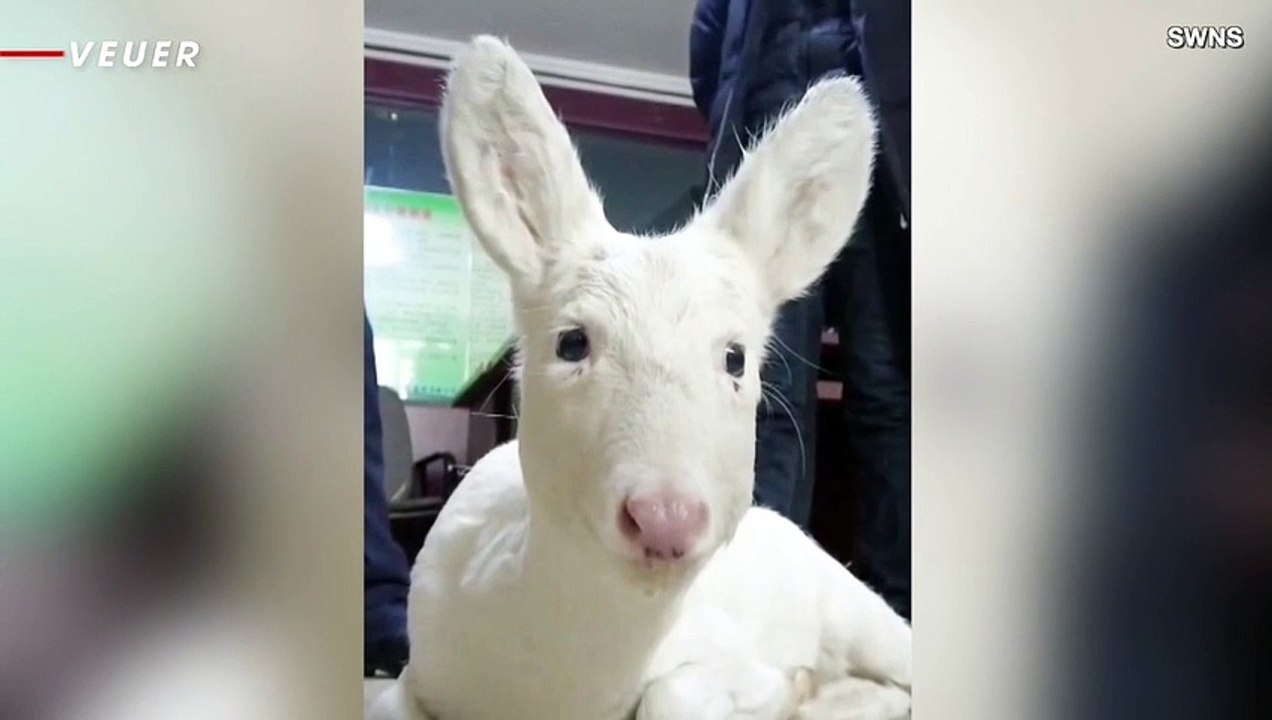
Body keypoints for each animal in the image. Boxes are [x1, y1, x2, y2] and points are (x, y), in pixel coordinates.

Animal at [370, 35, 911, 720]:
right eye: (572, 342)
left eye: (735, 358)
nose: (664, 519)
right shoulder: (422, 659)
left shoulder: (721, 649)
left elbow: (676, 694)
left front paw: (791, 687)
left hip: (853, 604)